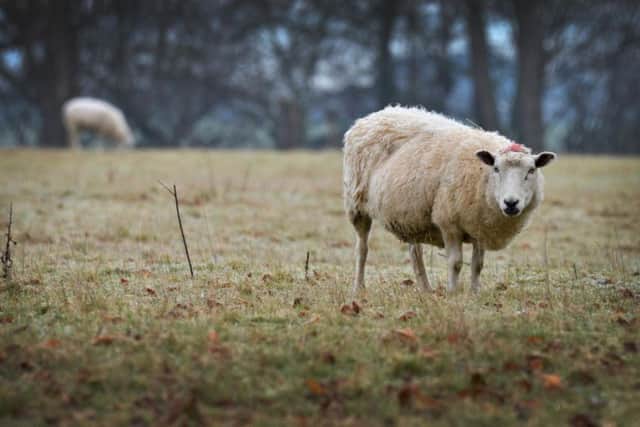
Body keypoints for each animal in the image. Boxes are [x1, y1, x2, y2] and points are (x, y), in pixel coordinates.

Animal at [343, 106, 556, 294]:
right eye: (496, 168)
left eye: (531, 170)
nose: (511, 203)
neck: (483, 178)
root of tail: (375, 115)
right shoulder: (449, 224)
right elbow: (455, 263)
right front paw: (452, 292)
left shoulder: (479, 226)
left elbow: (478, 265)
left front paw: (475, 292)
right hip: (356, 205)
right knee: (362, 249)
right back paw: (358, 287)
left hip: (411, 213)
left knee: (415, 253)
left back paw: (426, 289)